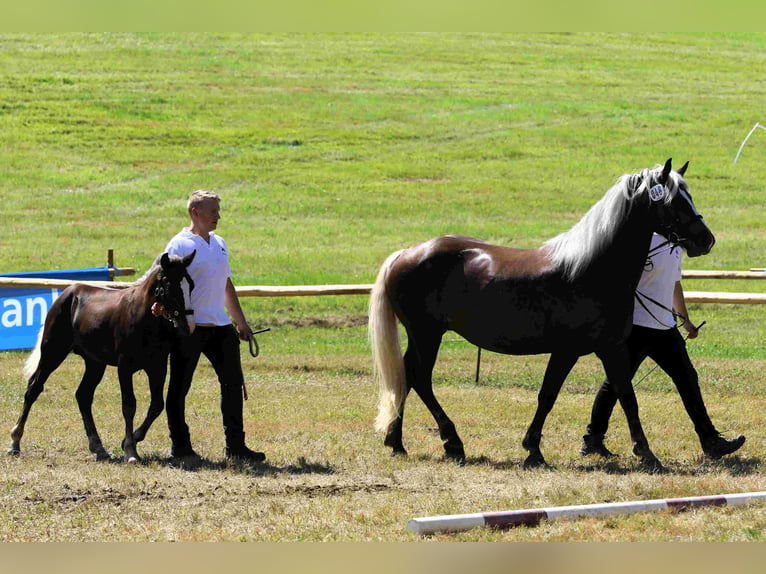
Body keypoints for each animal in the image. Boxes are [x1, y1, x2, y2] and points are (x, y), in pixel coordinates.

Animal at [9, 252, 195, 464]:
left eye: (191, 285)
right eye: (169, 286)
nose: (187, 325)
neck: (144, 319)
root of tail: (68, 293)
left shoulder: (158, 367)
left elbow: (157, 405)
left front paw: (132, 440)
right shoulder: (125, 367)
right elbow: (129, 405)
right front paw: (130, 450)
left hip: (94, 363)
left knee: (83, 395)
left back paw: (98, 447)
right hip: (53, 353)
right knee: (34, 388)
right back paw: (15, 442)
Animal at [368, 161, 716, 472]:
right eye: (674, 200)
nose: (706, 239)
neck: (592, 269)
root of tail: (404, 254)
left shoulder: (610, 349)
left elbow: (619, 395)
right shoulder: (574, 350)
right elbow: (558, 396)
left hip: (423, 336)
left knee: (406, 376)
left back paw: (396, 442)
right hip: (427, 334)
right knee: (419, 378)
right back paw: (451, 443)